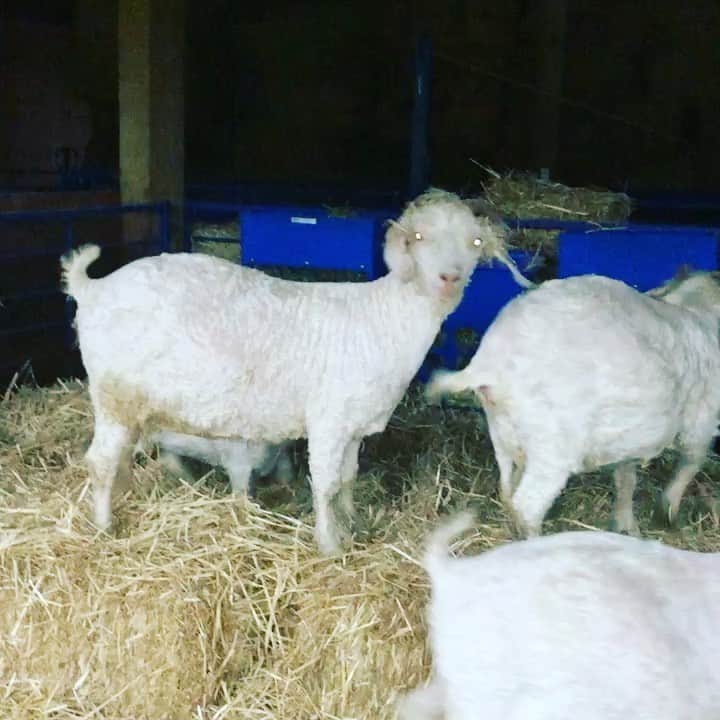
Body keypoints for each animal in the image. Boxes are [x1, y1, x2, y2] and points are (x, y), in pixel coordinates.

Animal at [426, 269, 720, 538]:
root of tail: (490, 362)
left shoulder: (629, 441)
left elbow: (626, 479)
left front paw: (626, 524)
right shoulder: (701, 426)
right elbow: (689, 466)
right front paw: (667, 512)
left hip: (502, 431)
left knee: (507, 489)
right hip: (551, 446)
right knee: (527, 506)